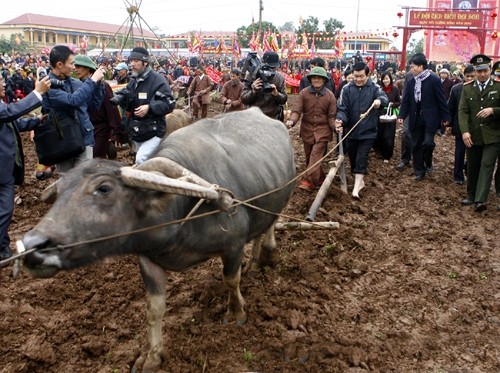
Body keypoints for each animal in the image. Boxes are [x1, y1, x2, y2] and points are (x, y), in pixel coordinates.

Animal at [22, 106, 296, 370]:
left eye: (104, 188)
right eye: (60, 192)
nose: (32, 246)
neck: (185, 203)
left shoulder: (233, 245)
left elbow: (231, 280)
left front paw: (237, 312)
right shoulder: (148, 259)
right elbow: (154, 309)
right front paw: (151, 356)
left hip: (282, 196)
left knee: (270, 225)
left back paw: (268, 254)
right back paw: (254, 263)